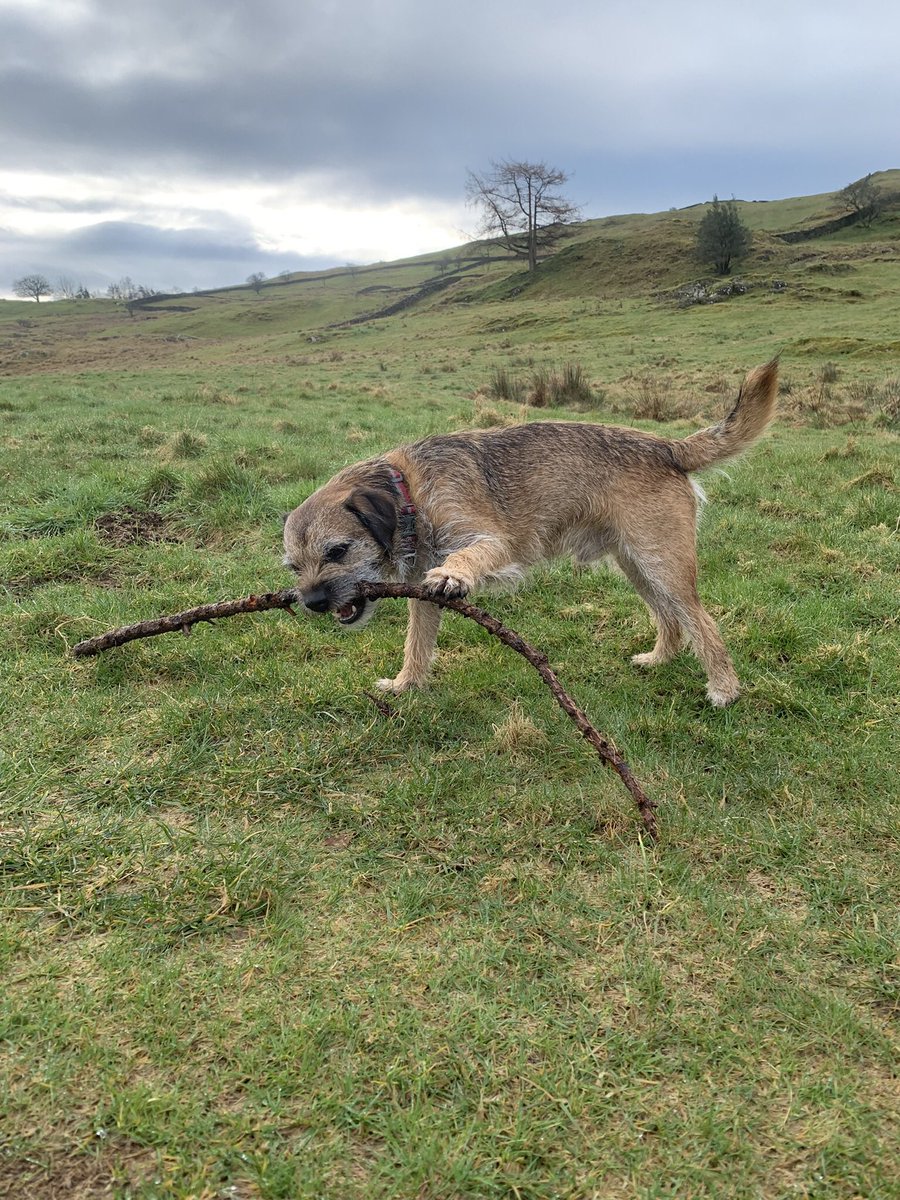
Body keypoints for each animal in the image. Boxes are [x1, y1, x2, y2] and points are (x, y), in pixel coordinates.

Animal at [285, 360, 777, 705]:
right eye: (293, 568)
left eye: (338, 551)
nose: (312, 603)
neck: (409, 490)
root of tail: (668, 446)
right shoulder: (420, 596)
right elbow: (416, 643)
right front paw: (406, 685)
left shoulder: (493, 542)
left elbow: (470, 557)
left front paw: (455, 574)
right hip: (637, 566)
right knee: (670, 618)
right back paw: (659, 659)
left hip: (664, 564)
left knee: (701, 622)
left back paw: (724, 689)